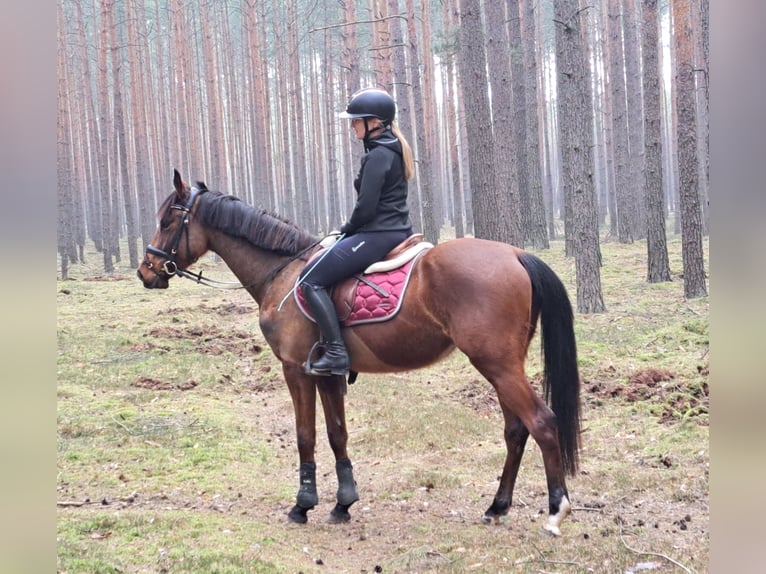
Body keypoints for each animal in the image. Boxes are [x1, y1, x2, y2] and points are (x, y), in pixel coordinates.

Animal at [138, 172, 584, 540]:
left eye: (167, 221)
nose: (146, 271)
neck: (284, 271)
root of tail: (515, 254)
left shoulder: (296, 370)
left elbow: (305, 435)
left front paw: (302, 505)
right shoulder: (328, 373)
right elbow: (337, 433)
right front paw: (343, 503)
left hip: (498, 366)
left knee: (542, 423)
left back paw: (555, 512)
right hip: (502, 367)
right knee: (516, 430)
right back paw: (497, 507)